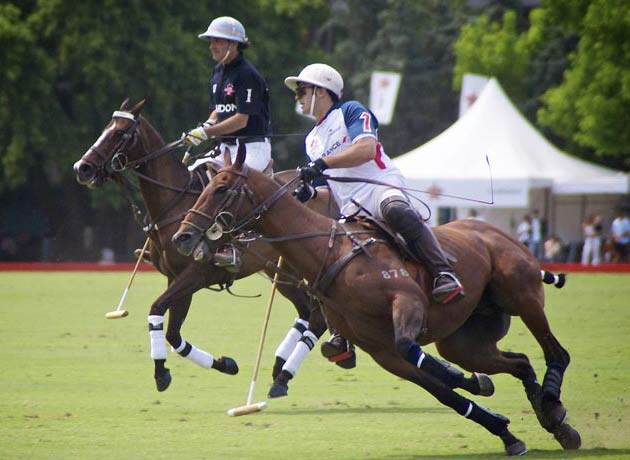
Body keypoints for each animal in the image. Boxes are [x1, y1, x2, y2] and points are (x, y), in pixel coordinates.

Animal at [73, 101, 330, 396]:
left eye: (119, 133)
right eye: (106, 128)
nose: (82, 168)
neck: (174, 203)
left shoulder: (194, 275)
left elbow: (156, 309)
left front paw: (160, 373)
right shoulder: (175, 278)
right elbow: (173, 335)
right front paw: (225, 364)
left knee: (318, 315)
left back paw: (288, 373)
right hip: (280, 272)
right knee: (306, 312)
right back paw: (280, 366)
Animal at [172, 150, 584, 456]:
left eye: (221, 188)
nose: (182, 237)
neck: (329, 252)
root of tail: (497, 230)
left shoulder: (408, 301)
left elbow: (414, 350)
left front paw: (467, 383)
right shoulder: (381, 352)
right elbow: (443, 392)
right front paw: (502, 429)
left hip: (522, 294)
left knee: (556, 351)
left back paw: (551, 399)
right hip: (464, 342)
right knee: (519, 361)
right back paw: (554, 419)